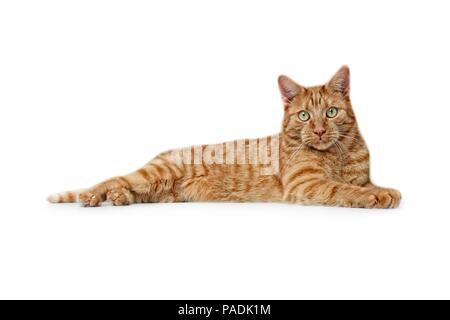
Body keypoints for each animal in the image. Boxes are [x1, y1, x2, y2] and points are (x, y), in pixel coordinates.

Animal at [48, 66, 400, 209]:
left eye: (330, 112)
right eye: (304, 116)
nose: (319, 130)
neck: (339, 152)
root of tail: (164, 153)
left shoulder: (360, 176)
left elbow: (364, 185)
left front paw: (385, 191)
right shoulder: (307, 184)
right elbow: (343, 190)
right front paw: (377, 197)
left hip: (163, 192)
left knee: (132, 190)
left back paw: (119, 198)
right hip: (155, 174)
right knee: (114, 178)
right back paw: (93, 195)